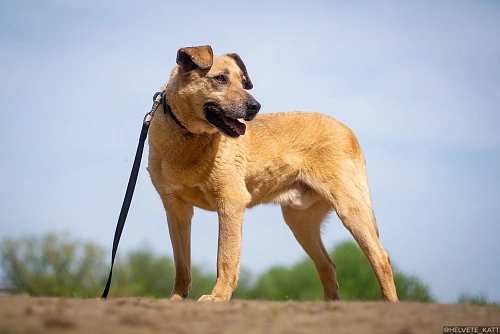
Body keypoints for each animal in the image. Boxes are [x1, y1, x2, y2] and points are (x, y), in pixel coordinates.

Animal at [147, 45, 398, 302]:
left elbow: (225, 258)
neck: (189, 136)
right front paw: (177, 298)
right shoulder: (176, 210)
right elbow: (181, 264)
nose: (255, 107)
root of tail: (348, 131)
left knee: (380, 258)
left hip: (350, 208)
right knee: (327, 266)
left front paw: (218, 297)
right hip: (300, 220)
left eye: (243, 81)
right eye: (220, 79)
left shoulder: (230, 203)